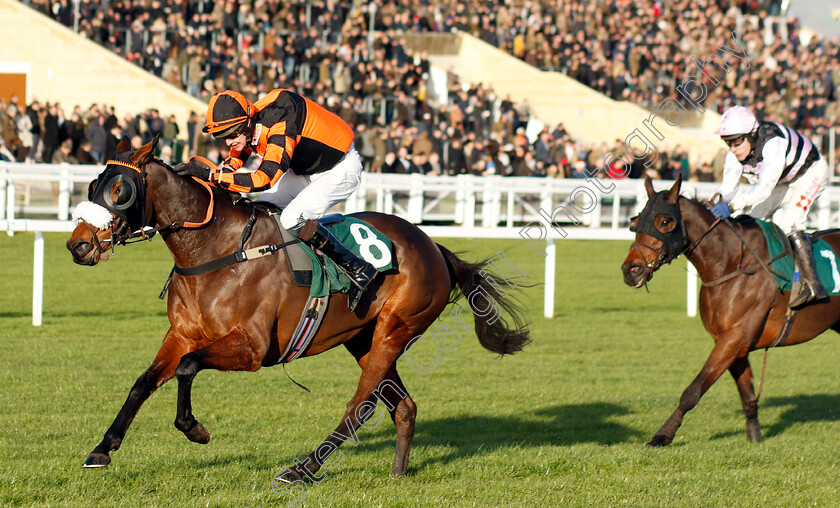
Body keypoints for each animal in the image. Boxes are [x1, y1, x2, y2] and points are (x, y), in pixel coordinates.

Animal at [65, 136, 528, 480]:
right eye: (91, 186)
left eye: (120, 191)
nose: (78, 245)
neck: (215, 251)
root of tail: (434, 246)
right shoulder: (181, 333)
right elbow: (143, 382)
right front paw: (102, 449)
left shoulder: (252, 349)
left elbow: (187, 367)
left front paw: (194, 429)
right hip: (363, 339)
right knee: (403, 406)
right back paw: (398, 472)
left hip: (394, 331)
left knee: (359, 406)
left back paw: (303, 468)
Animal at [616, 177, 840, 446]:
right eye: (636, 221)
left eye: (665, 221)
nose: (631, 270)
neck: (730, 265)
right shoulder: (730, 341)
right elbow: (747, 393)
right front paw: (754, 436)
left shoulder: (734, 338)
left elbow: (692, 391)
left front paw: (662, 435)